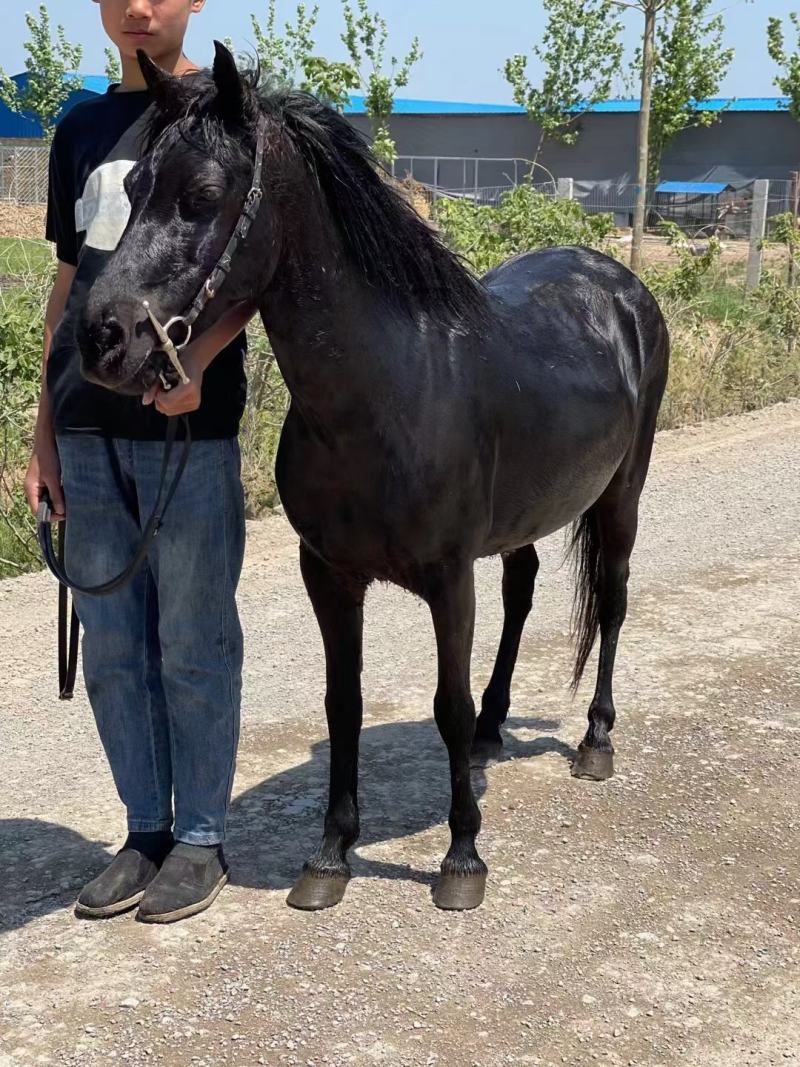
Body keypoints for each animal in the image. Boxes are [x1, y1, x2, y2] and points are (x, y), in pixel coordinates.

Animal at [80, 44, 670, 912]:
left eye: (203, 196)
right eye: (132, 189)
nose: (103, 339)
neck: (389, 389)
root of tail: (619, 284)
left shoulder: (449, 577)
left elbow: (447, 704)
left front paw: (462, 856)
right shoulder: (328, 574)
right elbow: (344, 702)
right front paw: (330, 853)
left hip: (623, 495)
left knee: (615, 602)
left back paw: (596, 738)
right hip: (524, 518)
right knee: (522, 593)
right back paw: (496, 732)